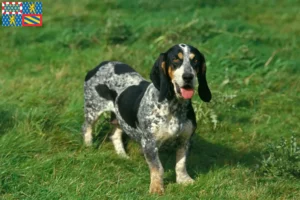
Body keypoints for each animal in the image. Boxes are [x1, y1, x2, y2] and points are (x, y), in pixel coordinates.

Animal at [81, 43, 211, 194]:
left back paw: (122, 155)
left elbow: (181, 164)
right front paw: (156, 188)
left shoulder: (185, 140)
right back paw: (88, 147)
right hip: (93, 110)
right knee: (86, 128)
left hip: (120, 118)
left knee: (114, 135)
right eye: (175, 60)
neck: (174, 106)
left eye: (195, 61)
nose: (188, 76)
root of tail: (100, 65)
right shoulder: (149, 143)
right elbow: (158, 168)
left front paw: (184, 180)